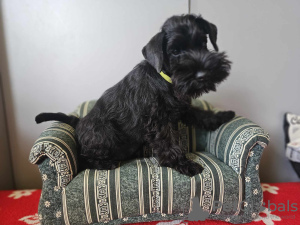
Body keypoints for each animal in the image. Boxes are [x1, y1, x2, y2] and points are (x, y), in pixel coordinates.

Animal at [36, 14, 234, 177]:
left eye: (203, 43)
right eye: (175, 51)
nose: (202, 75)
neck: (166, 79)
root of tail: (79, 122)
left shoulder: (182, 108)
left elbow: (200, 114)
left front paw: (222, 115)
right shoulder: (157, 121)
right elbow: (169, 143)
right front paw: (183, 164)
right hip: (105, 132)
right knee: (84, 158)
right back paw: (105, 163)